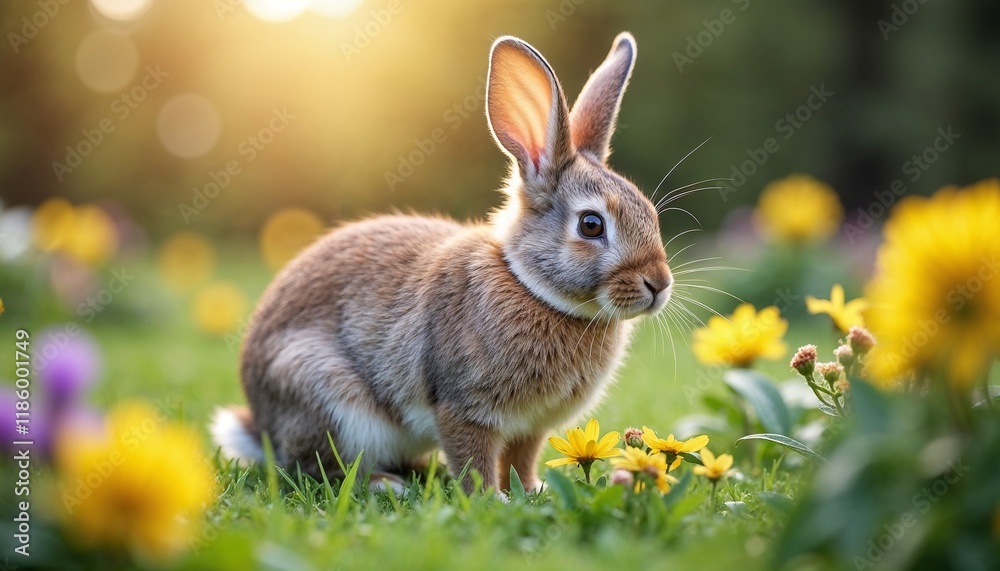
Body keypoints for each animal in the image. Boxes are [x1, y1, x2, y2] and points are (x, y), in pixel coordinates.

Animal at [211, 31, 673, 495]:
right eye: (591, 225)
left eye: (650, 214)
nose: (659, 284)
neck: (532, 288)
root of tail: (261, 427)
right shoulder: (463, 408)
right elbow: (473, 459)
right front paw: (491, 499)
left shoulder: (531, 427)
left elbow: (521, 458)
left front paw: (531, 490)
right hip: (328, 395)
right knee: (317, 468)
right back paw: (385, 484)